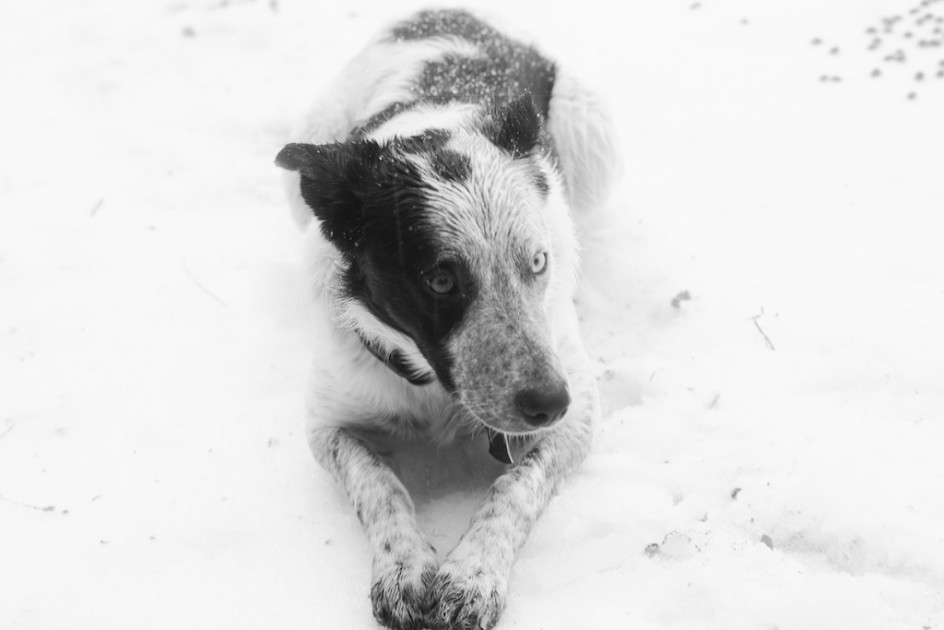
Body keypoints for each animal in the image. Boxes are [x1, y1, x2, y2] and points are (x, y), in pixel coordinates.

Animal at [272, 9, 620, 630]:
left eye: (538, 262)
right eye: (440, 280)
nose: (549, 402)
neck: (434, 389)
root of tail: (452, 14)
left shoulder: (577, 415)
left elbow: (516, 488)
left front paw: (472, 577)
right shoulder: (327, 421)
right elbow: (379, 485)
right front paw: (404, 568)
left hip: (591, 131)